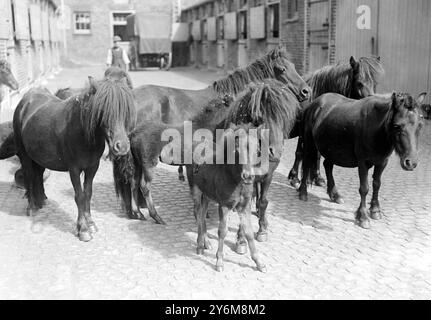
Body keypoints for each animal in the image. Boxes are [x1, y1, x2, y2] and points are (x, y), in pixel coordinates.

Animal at [13, 78, 136, 240]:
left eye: (126, 111)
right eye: (103, 110)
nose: (122, 146)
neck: (82, 134)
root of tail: (25, 100)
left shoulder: (92, 167)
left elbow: (88, 193)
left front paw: (91, 224)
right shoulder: (74, 169)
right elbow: (79, 196)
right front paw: (83, 229)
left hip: (39, 155)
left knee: (38, 174)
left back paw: (41, 201)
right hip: (24, 154)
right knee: (29, 175)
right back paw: (32, 207)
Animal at [286, 56, 384, 189]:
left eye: (375, 83)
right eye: (359, 83)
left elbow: (317, 155)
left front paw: (318, 178)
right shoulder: (303, 133)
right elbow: (300, 153)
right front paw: (295, 177)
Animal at [298, 91, 426, 229]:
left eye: (420, 125)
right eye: (397, 126)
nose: (411, 163)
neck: (376, 129)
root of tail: (315, 103)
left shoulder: (382, 162)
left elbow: (377, 184)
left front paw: (375, 210)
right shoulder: (363, 163)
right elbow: (364, 188)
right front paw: (363, 216)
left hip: (331, 149)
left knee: (327, 166)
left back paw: (335, 195)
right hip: (310, 143)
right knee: (306, 163)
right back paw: (303, 192)